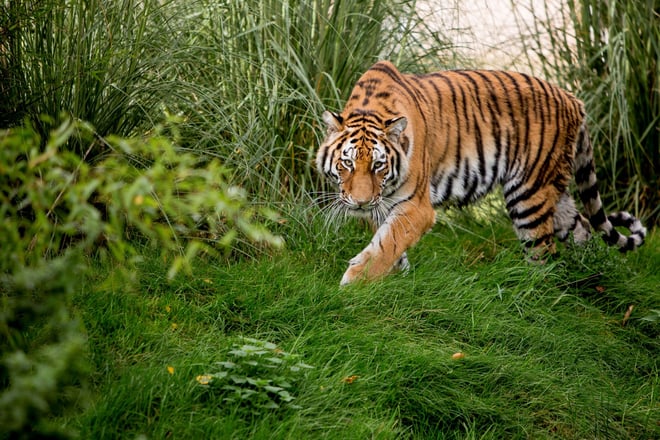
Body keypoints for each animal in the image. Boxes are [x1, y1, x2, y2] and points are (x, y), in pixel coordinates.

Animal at [315, 61, 646, 285]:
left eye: (378, 165)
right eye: (347, 164)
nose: (360, 203)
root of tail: (574, 100)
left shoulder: (416, 207)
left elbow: (388, 243)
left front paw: (353, 283)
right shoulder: (382, 205)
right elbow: (387, 244)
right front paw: (397, 277)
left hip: (529, 194)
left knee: (543, 252)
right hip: (555, 189)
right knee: (582, 228)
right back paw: (590, 274)